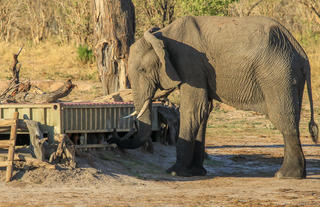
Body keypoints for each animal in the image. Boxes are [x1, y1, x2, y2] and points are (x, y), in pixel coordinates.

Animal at [109, 15, 318, 178]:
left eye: (142, 71)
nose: (113, 134)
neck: (162, 35)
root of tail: (301, 52)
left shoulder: (191, 64)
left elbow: (193, 109)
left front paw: (175, 172)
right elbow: (203, 111)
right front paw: (195, 173)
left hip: (277, 74)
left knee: (282, 118)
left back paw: (285, 175)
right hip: (289, 75)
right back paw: (295, 174)